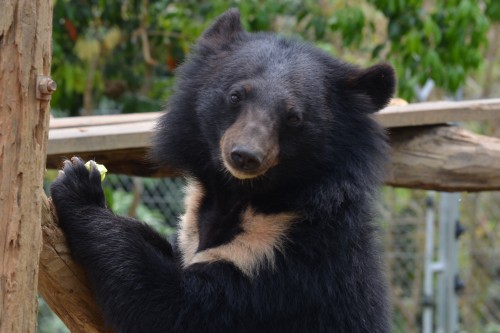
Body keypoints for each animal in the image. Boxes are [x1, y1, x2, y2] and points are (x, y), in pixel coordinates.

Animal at [50, 8, 394, 332]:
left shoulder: (290, 264)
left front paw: (80, 184)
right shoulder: (192, 231)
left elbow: (174, 309)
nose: (245, 156)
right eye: (235, 95)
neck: (241, 196)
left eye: (294, 117)